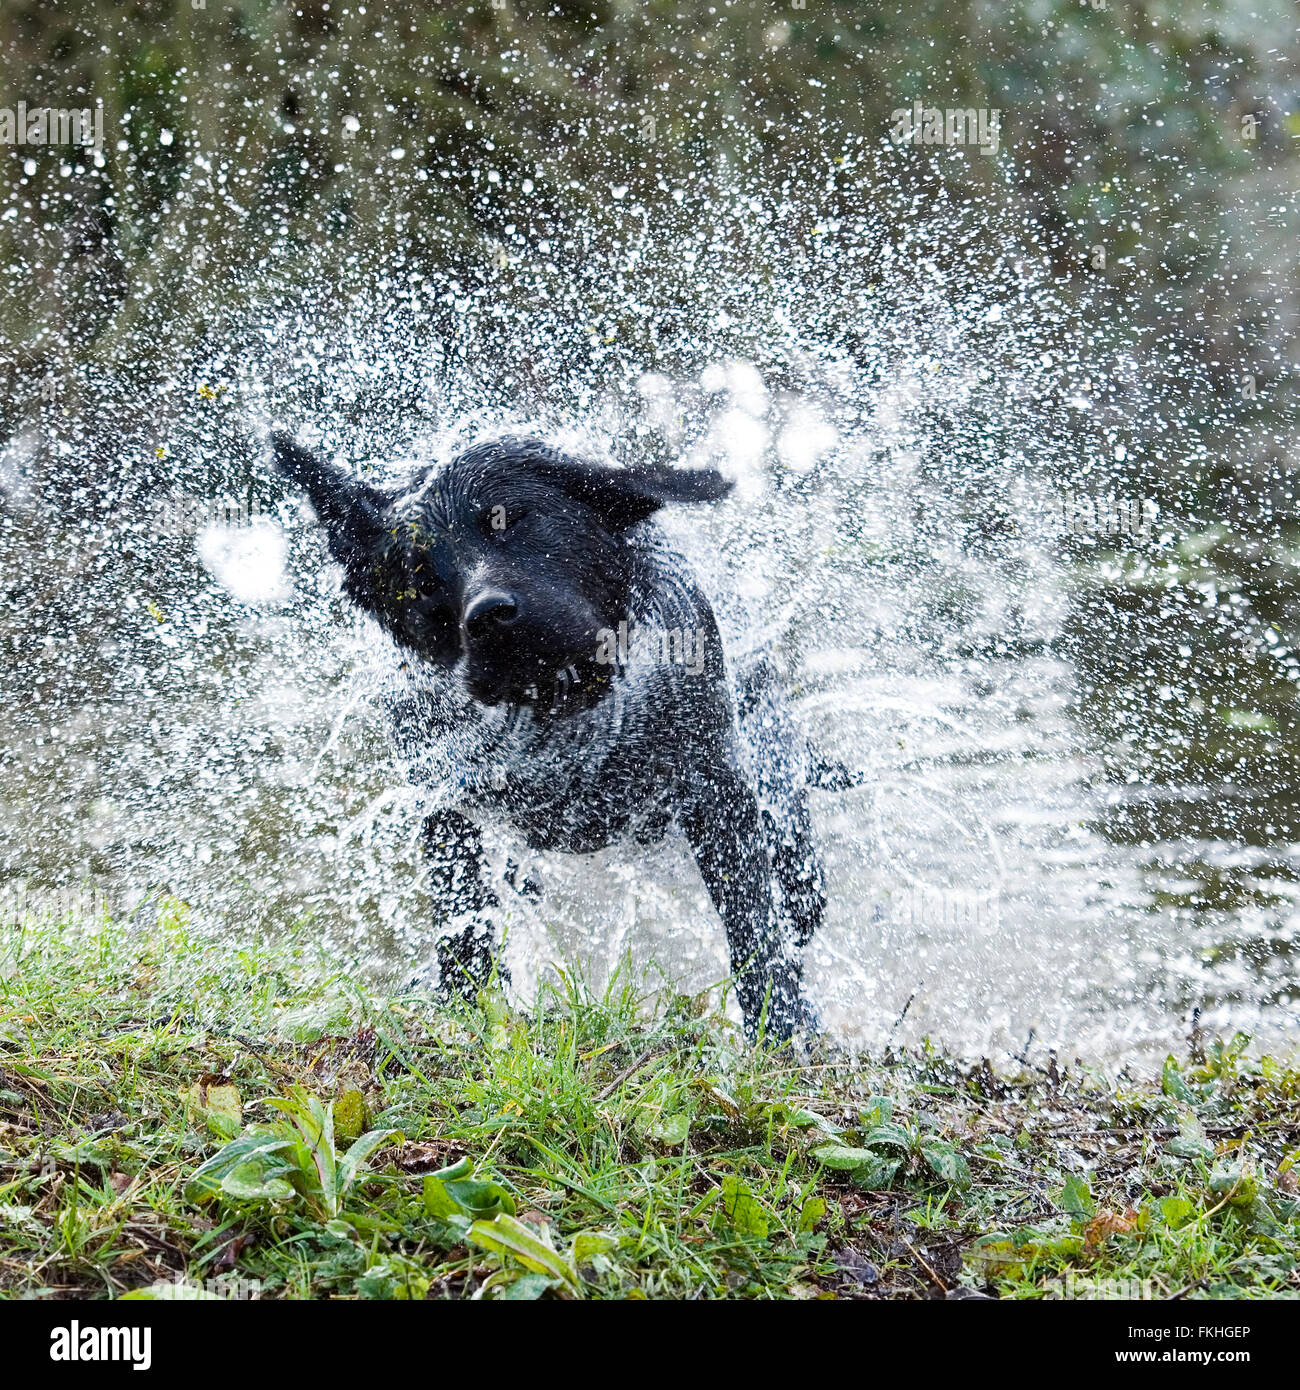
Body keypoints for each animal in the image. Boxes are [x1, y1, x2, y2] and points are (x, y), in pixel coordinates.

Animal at [273, 433, 823, 1045]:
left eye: (513, 519)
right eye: (421, 580)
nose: (487, 616)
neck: (570, 712)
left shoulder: (713, 784)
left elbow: (753, 926)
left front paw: (784, 1030)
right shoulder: (445, 805)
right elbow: (463, 920)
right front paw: (459, 1008)